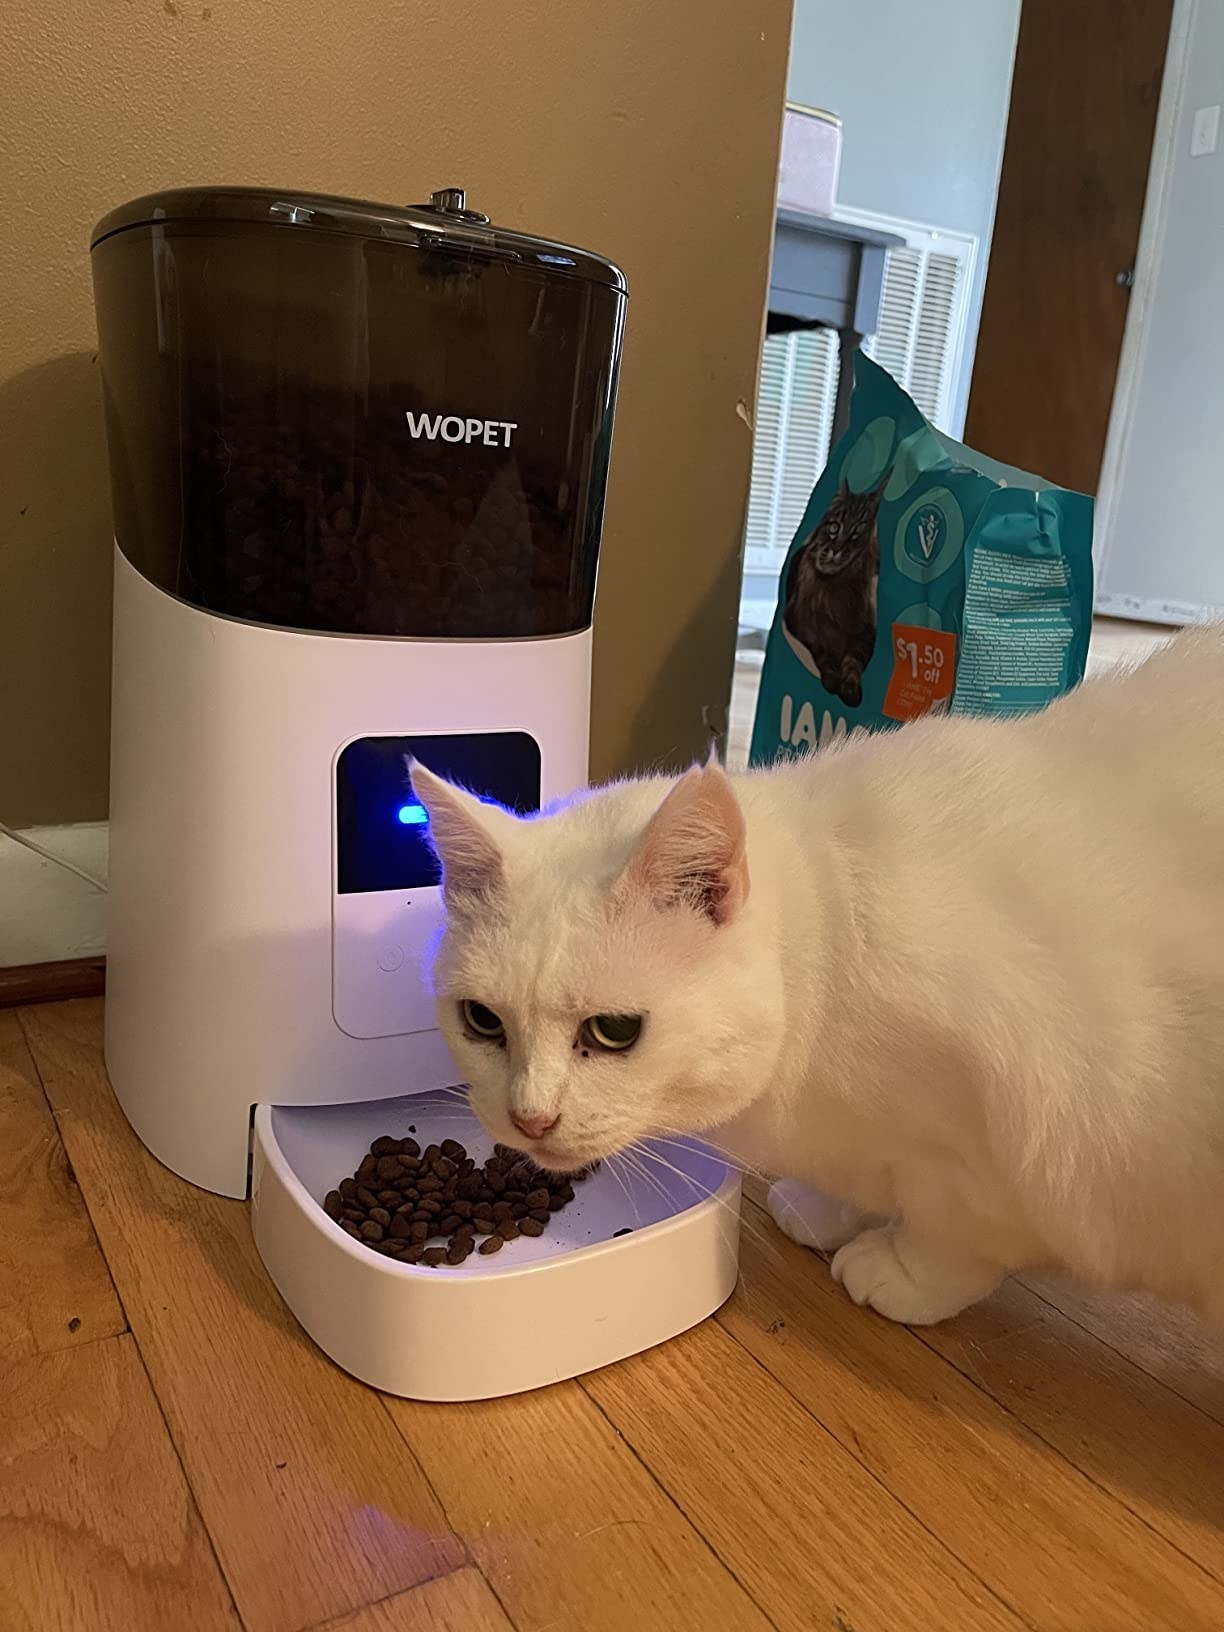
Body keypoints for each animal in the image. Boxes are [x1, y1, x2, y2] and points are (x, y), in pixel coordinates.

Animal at [409, 623, 1224, 1325]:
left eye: (614, 1031)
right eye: (482, 1022)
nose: (529, 1120)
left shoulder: (1017, 1137)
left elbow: (956, 1234)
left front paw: (898, 1274)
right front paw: (831, 1211)